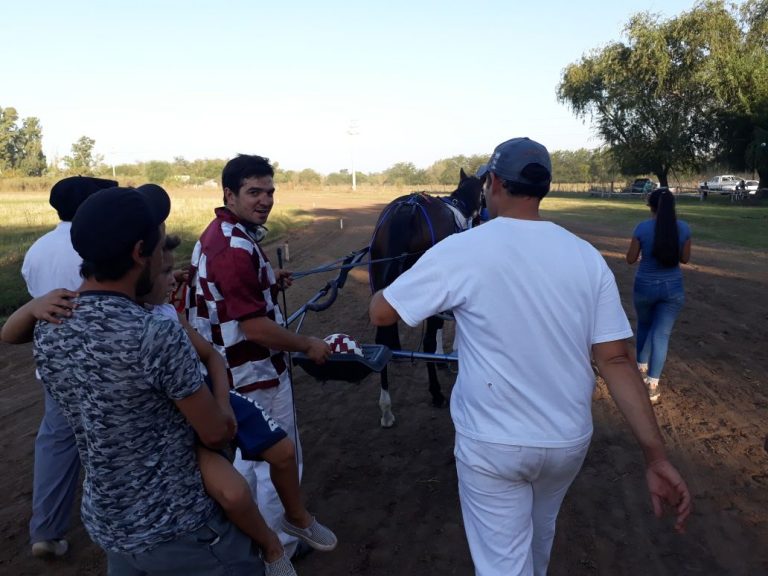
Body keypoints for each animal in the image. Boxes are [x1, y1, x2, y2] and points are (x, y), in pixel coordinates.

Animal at [368, 169, 485, 427]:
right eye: (484, 196)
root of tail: (406, 211)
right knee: (428, 341)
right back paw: (436, 392)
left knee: (383, 340)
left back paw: (386, 409)